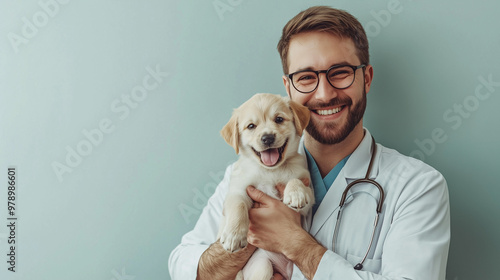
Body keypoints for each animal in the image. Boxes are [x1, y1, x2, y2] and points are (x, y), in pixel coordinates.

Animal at [219, 93, 312, 280]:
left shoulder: (308, 195)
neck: (270, 170)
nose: (267, 138)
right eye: (251, 126)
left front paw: (296, 193)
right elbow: (238, 206)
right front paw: (234, 235)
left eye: (279, 119)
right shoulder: (237, 190)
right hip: (262, 266)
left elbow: (295, 180)